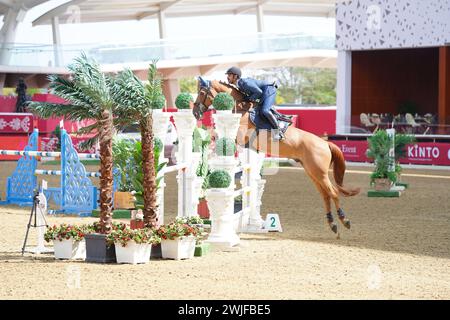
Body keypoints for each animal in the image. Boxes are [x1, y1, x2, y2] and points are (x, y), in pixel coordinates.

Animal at [192, 79, 358, 234]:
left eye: (201, 92)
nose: (195, 112)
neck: (241, 109)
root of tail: (325, 143)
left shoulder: (240, 136)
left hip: (319, 173)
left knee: (333, 192)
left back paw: (344, 220)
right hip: (313, 173)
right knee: (325, 195)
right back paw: (332, 223)